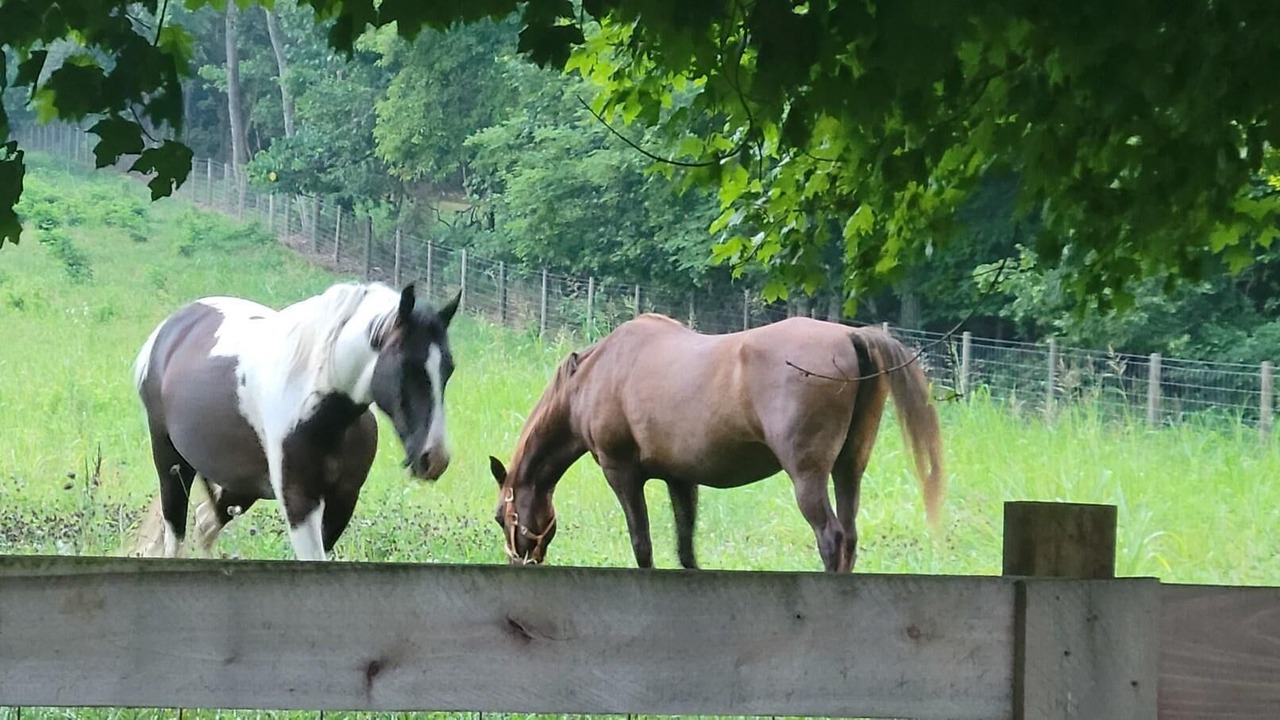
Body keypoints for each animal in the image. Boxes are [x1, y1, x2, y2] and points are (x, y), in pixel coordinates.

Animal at [133, 281, 460, 561]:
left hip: (239, 485)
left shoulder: (343, 500)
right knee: (175, 538)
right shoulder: (300, 502)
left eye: (449, 368)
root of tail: (169, 329)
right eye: (407, 366)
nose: (434, 459)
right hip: (172, 465)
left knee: (204, 523)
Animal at [489, 313, 944, 572]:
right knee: (848, 536)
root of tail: (851, 337)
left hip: (808, 477)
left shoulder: (622, 474)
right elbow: (686, 549)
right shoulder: (680, 480)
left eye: (499, 516)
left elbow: (643, 546)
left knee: (831, 537)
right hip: (849, 470)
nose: (519, 562)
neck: (592, 376)